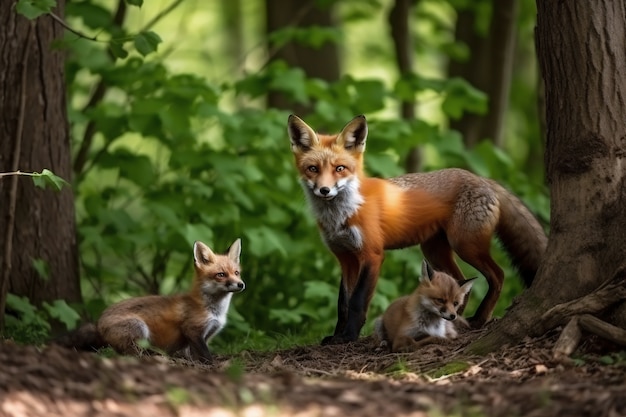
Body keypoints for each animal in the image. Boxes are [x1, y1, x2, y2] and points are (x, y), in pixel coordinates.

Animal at [56, 239, 241, 360]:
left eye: (236, 273)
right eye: (221, 275)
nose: (241, 284)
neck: (215, 310)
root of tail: (98, 323)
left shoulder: (206, 335)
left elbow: (194, 354)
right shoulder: (193, 330)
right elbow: (206, 355)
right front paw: (211, 364)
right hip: (139, 327)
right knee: (129, 353)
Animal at [288, 114, 544, 344]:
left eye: (340, 168)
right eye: (313, 169)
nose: (324, 190)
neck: (343, 214)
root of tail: (482, 178)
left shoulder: (372, 255)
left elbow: (357, 302)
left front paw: (348, 337)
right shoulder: (346, 258)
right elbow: (343, 303)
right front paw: (337, 335)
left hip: (466, 245)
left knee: (498, 276)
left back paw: (479, 319)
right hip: (434, 251)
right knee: (461, 283)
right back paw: (454, 320)